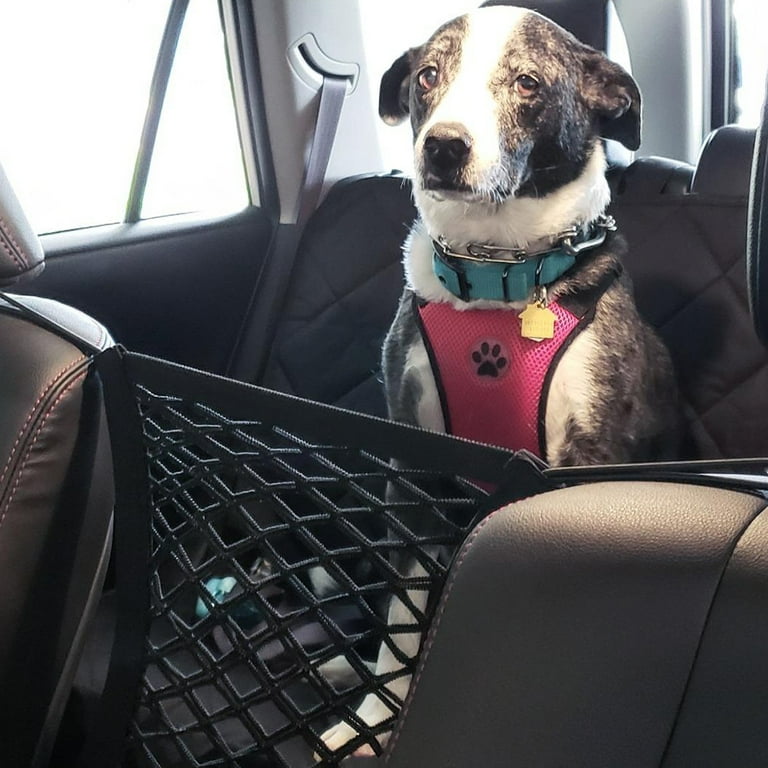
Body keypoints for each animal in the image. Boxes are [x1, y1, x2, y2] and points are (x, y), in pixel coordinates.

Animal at [318, 4, 680, 756]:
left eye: (527, 83)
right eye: (429, 75)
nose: (442, 148)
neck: (497, 273)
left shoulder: (587, 461)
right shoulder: (413, 469)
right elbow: (401, 623)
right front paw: (373, 721)